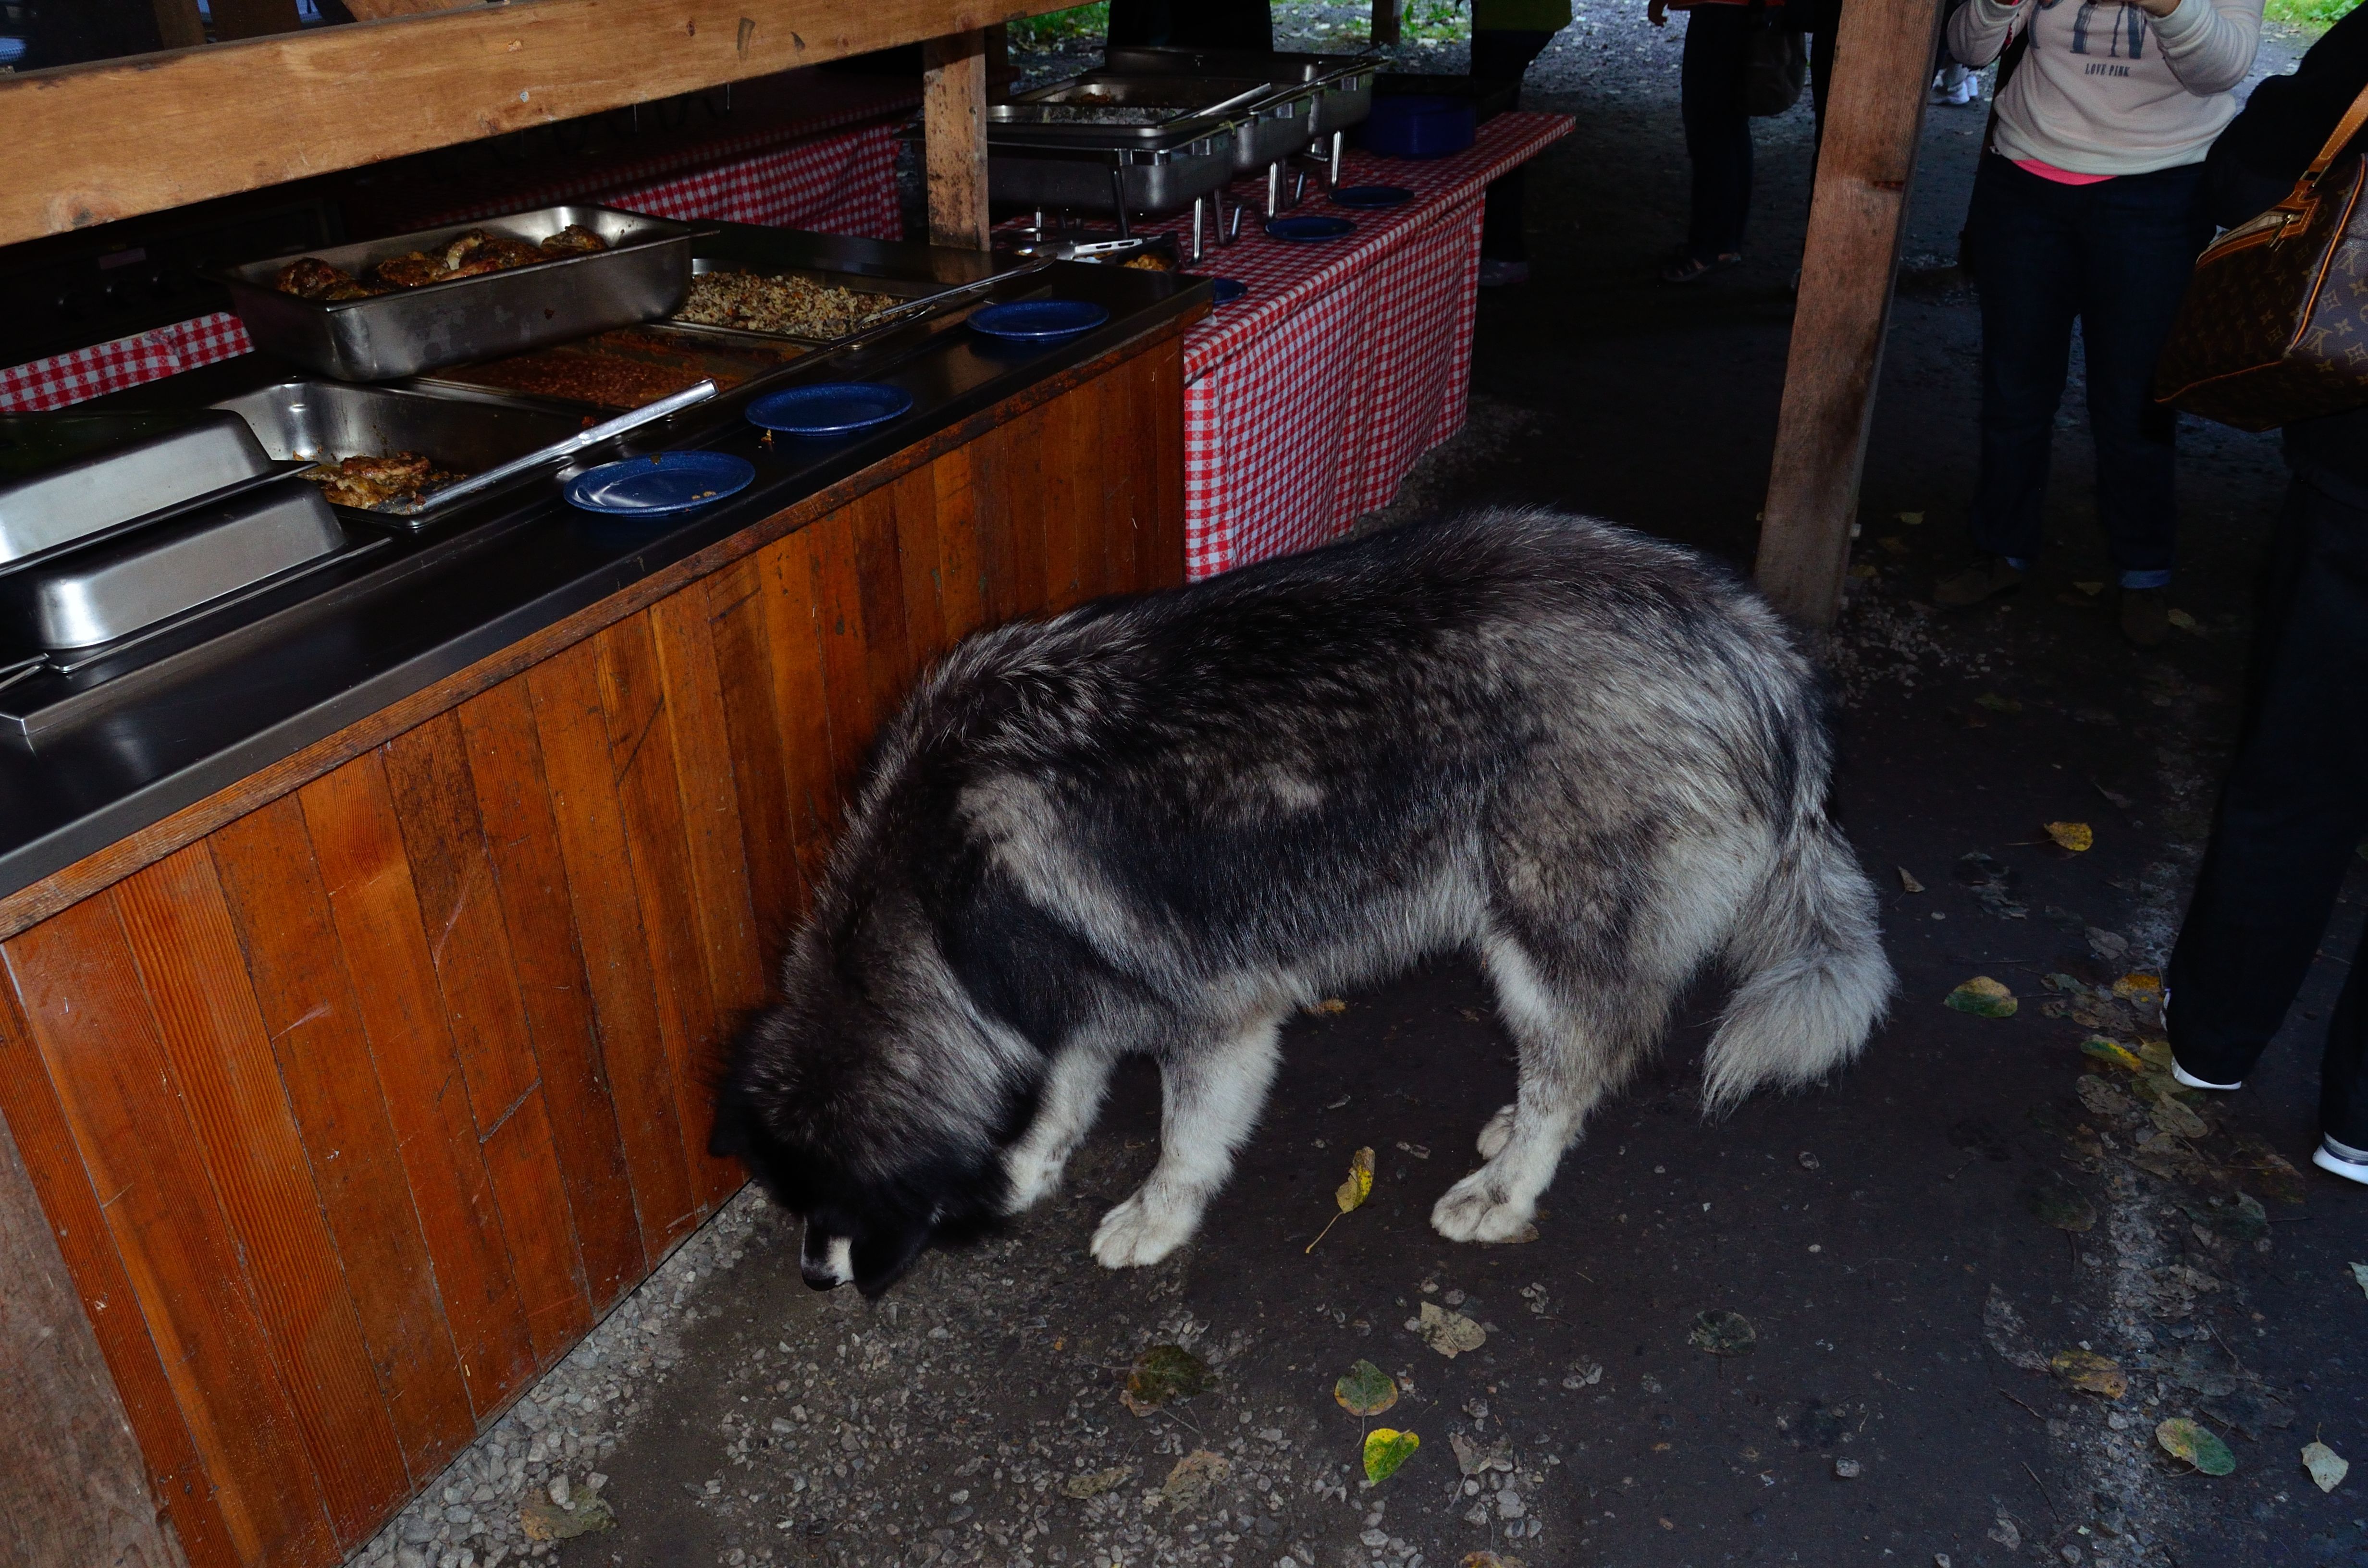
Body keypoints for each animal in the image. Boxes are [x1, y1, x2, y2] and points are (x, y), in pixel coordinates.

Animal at [709, 509, 1893, 1295]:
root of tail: (1755, 642)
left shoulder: (1214, 1012)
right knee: (1577, 1057)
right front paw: (1032, 1160)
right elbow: (1064, 1088)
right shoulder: (1075, 987)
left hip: (1533, 933)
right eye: (789, 1196)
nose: (814, 1276)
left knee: (1576, 1062)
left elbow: (1185, 1135)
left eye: (826, 1199)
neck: (932, 880)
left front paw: (1158, 1210)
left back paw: (1507, 1184)